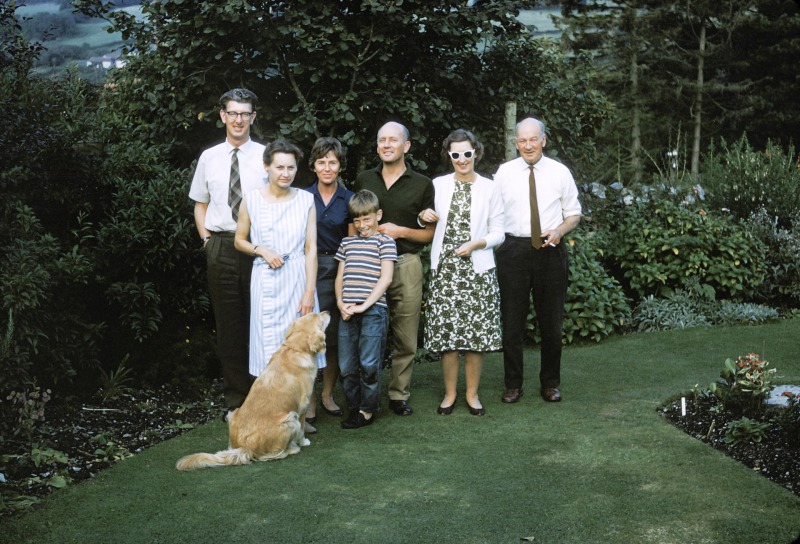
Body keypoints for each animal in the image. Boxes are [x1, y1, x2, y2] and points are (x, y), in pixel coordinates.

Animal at [177, 312, 330, 470]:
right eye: (319, 318)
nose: (327, 312)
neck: (295, 349)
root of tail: (245, 447)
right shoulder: (302, 408)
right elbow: (302, 430)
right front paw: (304, 441)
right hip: (289, 419)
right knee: (271, 455)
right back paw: (292, 449)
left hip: (233, 413)